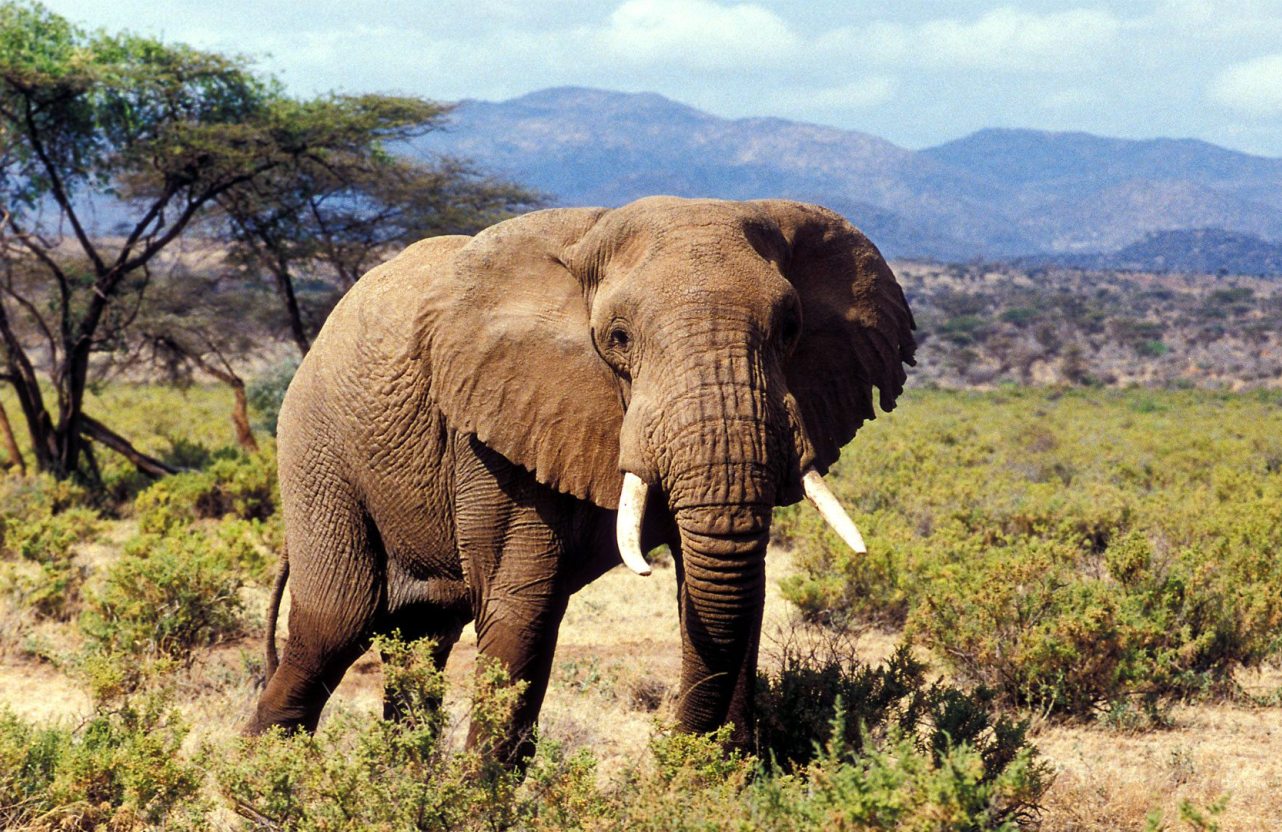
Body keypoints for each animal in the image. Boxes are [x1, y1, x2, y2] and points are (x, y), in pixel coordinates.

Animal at [249, 196, 916, 760]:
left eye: (790, 330)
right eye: (617, 337)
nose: (668, 750)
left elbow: (731, 590)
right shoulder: (495, 425)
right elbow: (523, 607)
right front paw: (478, 802)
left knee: (420, 639)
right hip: (315, 446)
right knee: (335, 624)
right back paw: (262, 789)